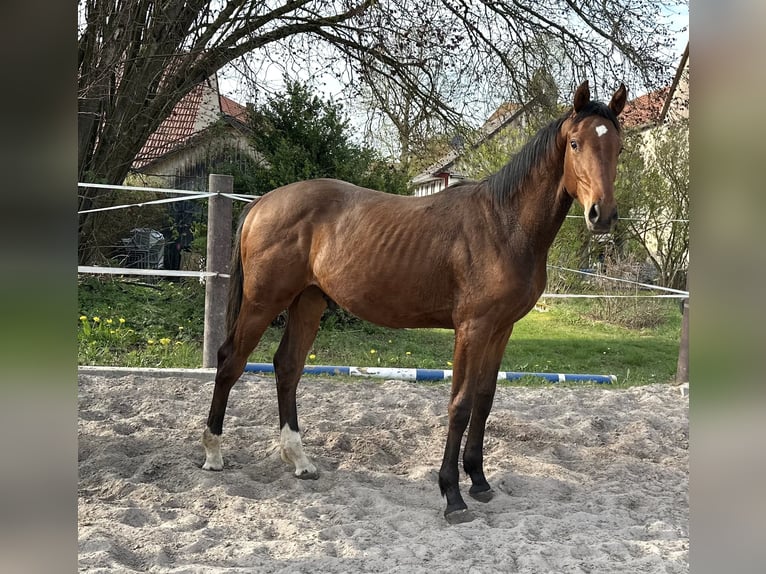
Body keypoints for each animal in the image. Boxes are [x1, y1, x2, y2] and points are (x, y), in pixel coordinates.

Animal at [202, 80, 627, 523]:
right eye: (575, 143)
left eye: (619, 148)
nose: (602, 215)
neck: (504, 224)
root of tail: (262, 203)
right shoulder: (472, 328)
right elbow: (460, 405)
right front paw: (453, 496)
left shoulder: (501, 329)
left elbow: (484, 400)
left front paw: (479, 482)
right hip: (263, 302)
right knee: (231, 361)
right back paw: (213, 453)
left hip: (307, 302)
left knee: (287, 367)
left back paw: (299, 460)